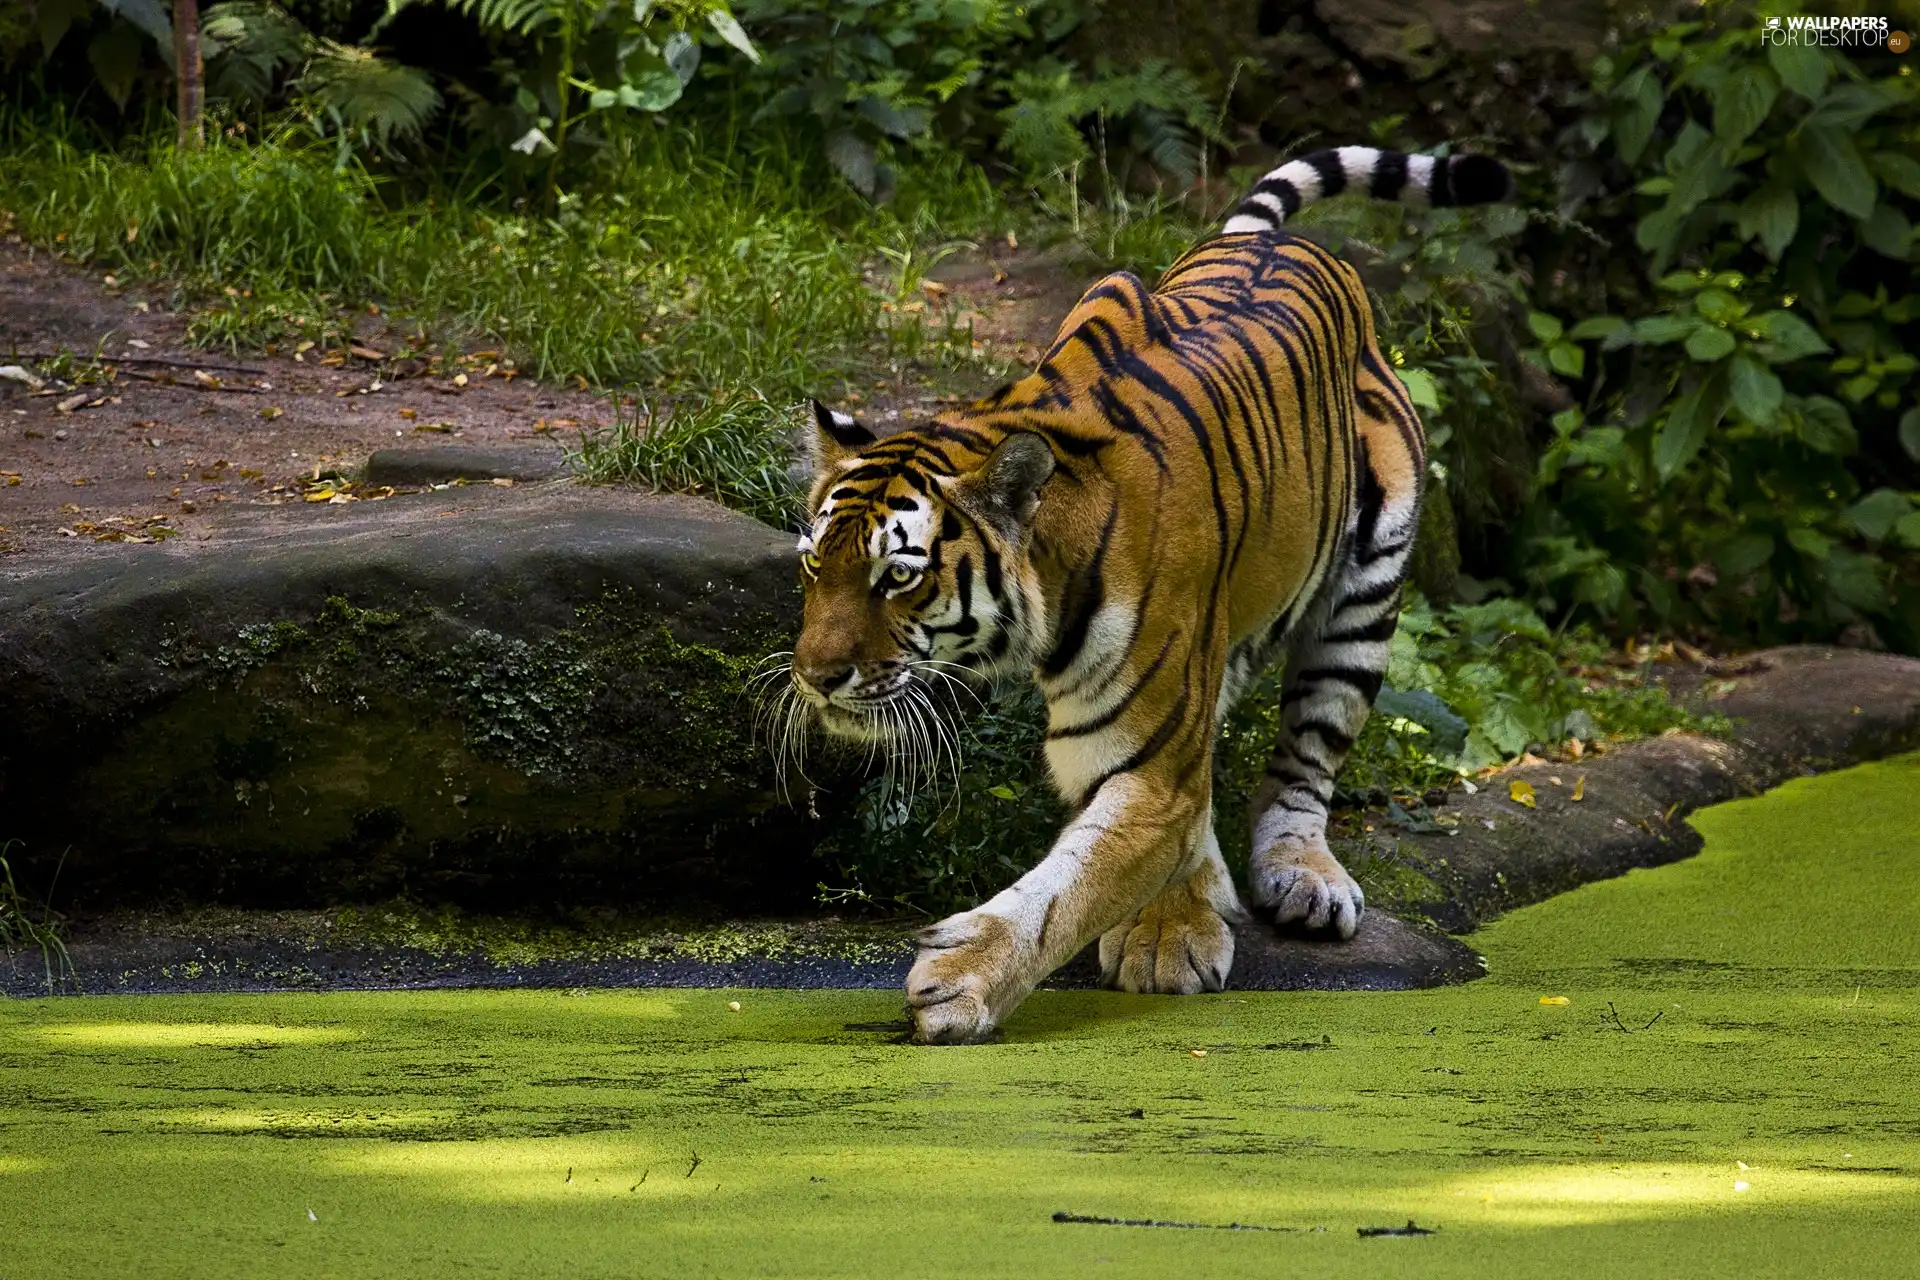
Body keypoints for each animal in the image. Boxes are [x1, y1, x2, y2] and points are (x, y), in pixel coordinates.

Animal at [783, 144, 1512, 1043]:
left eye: (899, 576)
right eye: (815, 565)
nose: (815, 678)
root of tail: (1280, 244)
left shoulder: (1148, 755)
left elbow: (1069, 888)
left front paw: (962, 978)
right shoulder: (1160, 729)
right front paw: (1170, 927)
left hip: (1365, 597)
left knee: (1306, 754)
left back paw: (1301, 875)